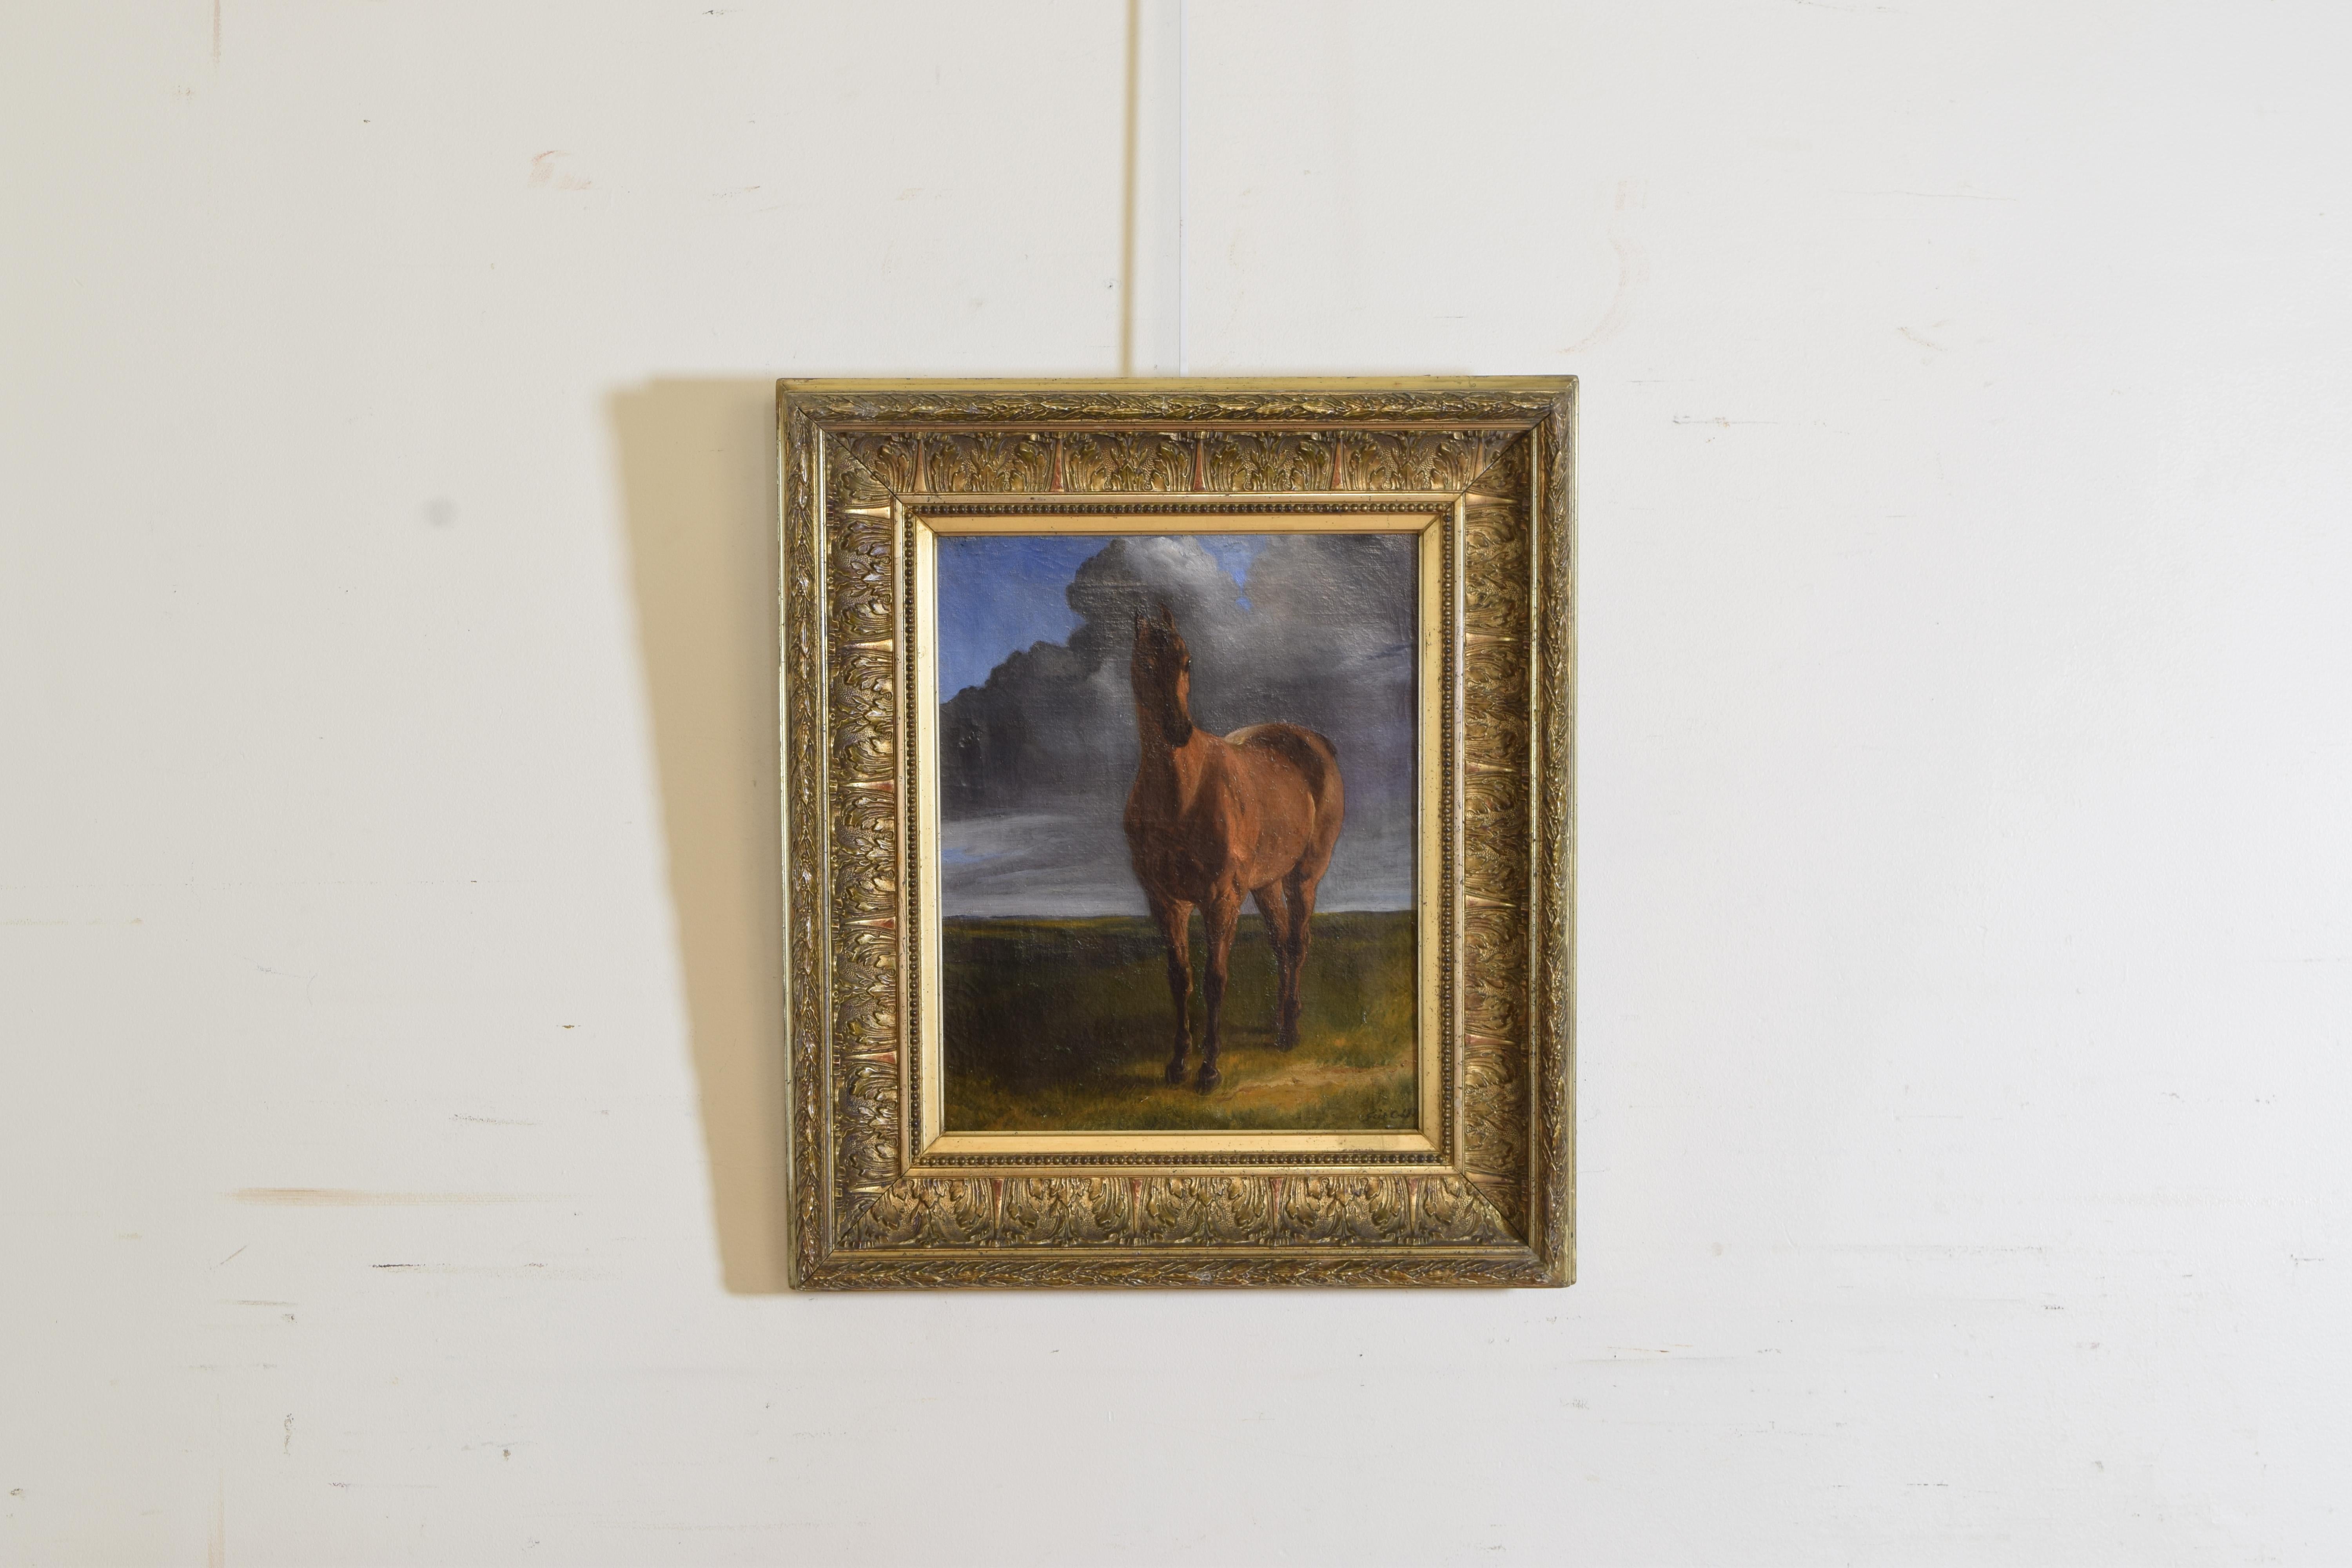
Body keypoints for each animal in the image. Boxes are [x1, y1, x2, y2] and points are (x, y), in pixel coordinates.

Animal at [1129, 606, 1355, 1091]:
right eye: (1145, 663)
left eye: (1188, 662)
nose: (1178, 730)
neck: (1181, 791)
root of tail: (1313, 741)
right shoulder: (1166, 902)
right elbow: (1180, 978)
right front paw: (1177, 1062)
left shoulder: (1221, 900)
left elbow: (1215, 980)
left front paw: (1210, 1069)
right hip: (1265, 884)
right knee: (1281, 944)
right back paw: (1283, 1021)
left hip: (1302, 877)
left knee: (1297, 943)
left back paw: (1289, 1032)